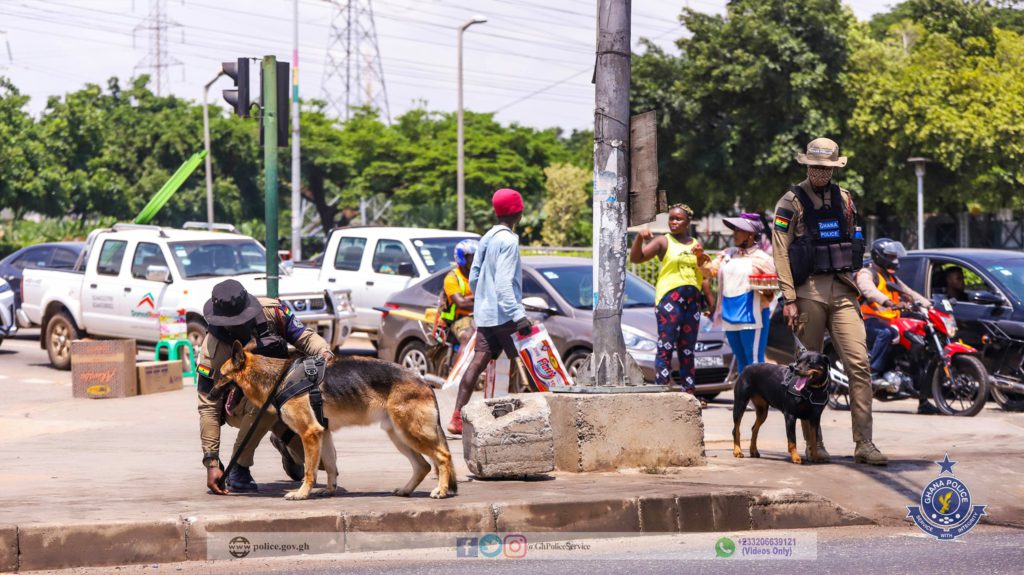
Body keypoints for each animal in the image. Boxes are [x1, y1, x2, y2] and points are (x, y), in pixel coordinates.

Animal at [216, 339, 456, 497]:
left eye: (220, 376)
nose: (208, 393)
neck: (280, 377)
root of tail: (423, 381)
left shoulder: (309, 433)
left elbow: (309, 470)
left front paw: (302, 493)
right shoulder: (324, 433)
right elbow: (330, 465)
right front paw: (330, 490)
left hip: (411, 433)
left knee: (443, 457)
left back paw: (441, 490)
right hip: (399, 436)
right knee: (423, 466)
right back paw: (406, 490)